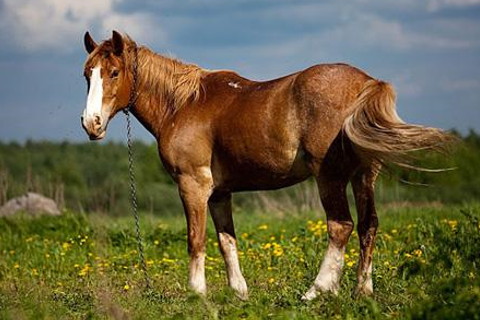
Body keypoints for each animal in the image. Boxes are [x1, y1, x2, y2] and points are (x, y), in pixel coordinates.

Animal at [80, 30, 452, 300]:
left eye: (114, 72)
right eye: (87, 75)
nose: (91, 124)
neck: (183, 104)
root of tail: (365, 83)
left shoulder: (192, 184)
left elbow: (196, 239)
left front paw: (197, 294)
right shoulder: (219, 193)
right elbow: (226, 240)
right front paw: (239, 293)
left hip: (329, 177)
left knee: (341, 226)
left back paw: (317, 291)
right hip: (364, 176)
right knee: (368, 226)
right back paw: (363, 292)